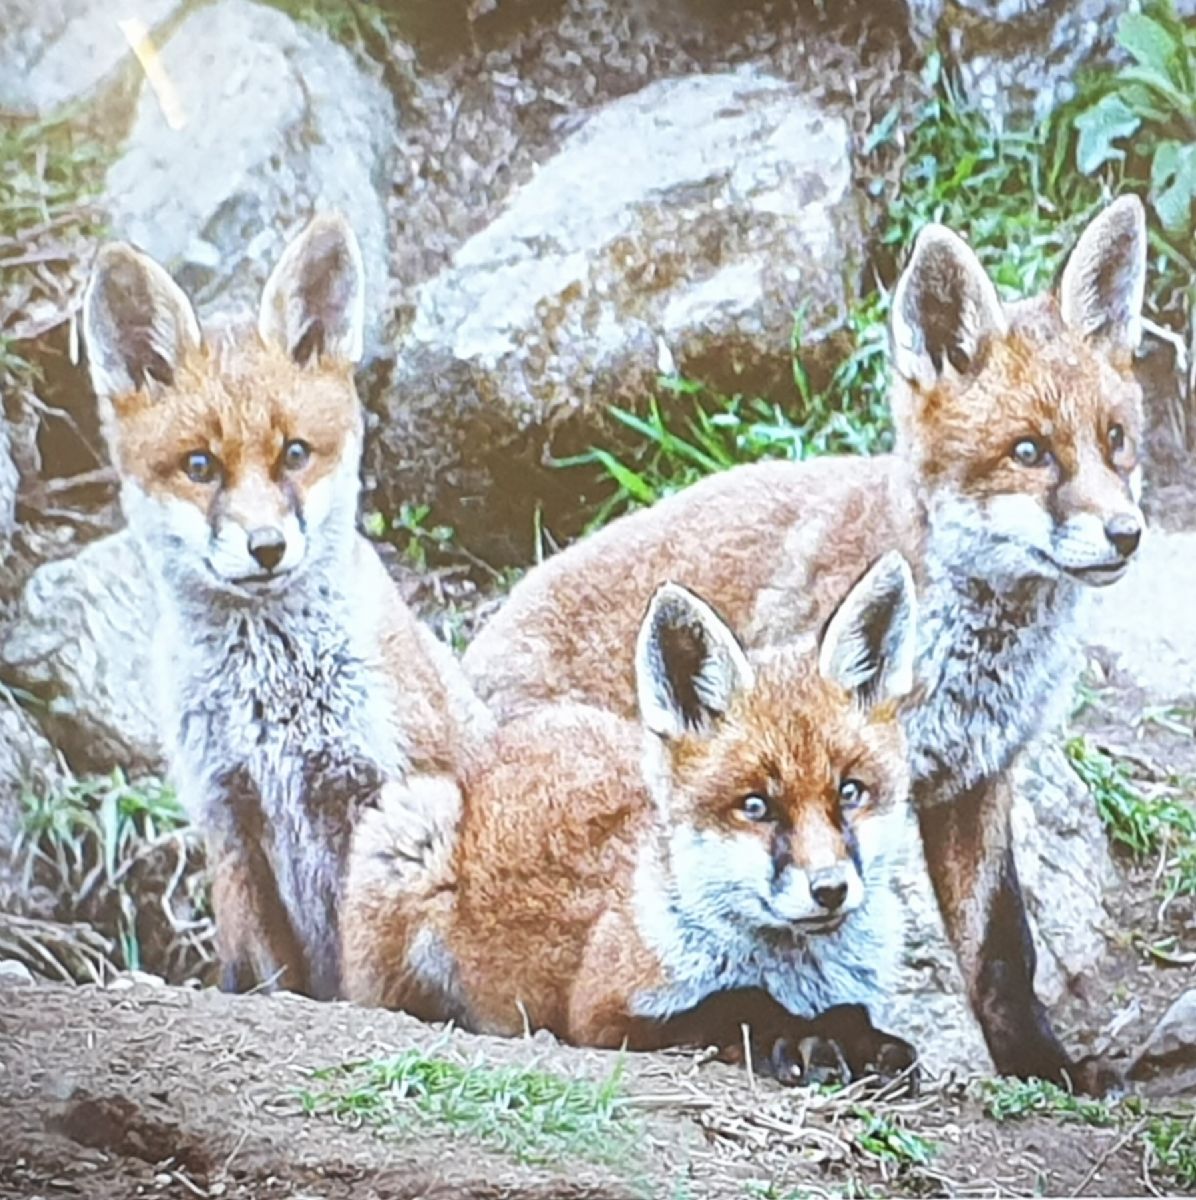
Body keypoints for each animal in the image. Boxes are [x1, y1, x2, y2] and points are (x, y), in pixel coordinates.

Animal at [81, 213, 490, 1001]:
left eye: (294, 454)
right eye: (201, 466)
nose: (266, 547)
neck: (269, 697)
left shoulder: (374, 800)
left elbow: (363, 980)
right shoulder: (231, 821)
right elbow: (266, 978)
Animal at [343, 553, 920, 1081]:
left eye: (850, 792)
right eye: (756, 805)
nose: (830, 889)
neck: (796, 971)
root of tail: (496, 744)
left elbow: (851, 1010)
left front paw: (861, 1038)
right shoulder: (602, 1014)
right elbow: (738, 1002)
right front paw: (797, 1037)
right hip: (410, 839)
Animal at [460, 196, 1149, 1089]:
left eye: (1116, 440)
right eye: (1029, 452)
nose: (1127, 534)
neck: (972, 659)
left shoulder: (975, 782)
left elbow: (1002, 950)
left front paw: (1039, 1063)